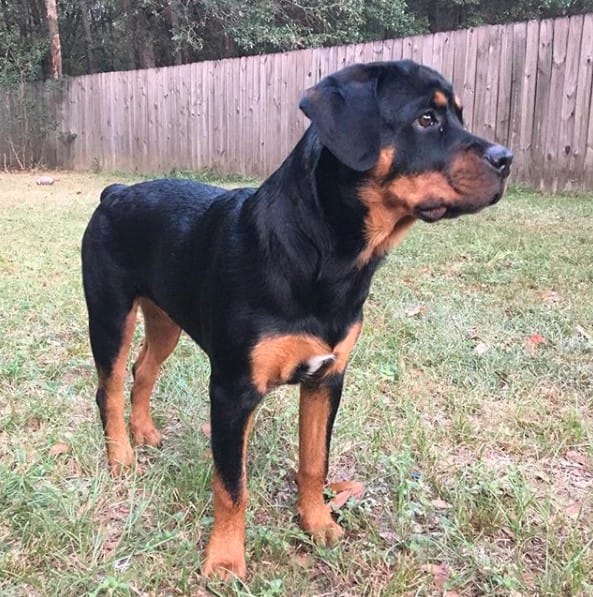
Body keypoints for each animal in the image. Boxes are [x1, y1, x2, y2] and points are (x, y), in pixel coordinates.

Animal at [82, 60, 512, 579]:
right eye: (426, 119)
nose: (507, 159)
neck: (324, 256)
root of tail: (114, 192)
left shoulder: (327, 378)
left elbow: (313, 462)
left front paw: (317, 523)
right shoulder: (232, 391)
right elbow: (231, 485)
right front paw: (225, 560)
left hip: (165, 319)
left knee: (143, 370)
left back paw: (143, 432)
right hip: (110, 316)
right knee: (109, 387)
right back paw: (121, 455)